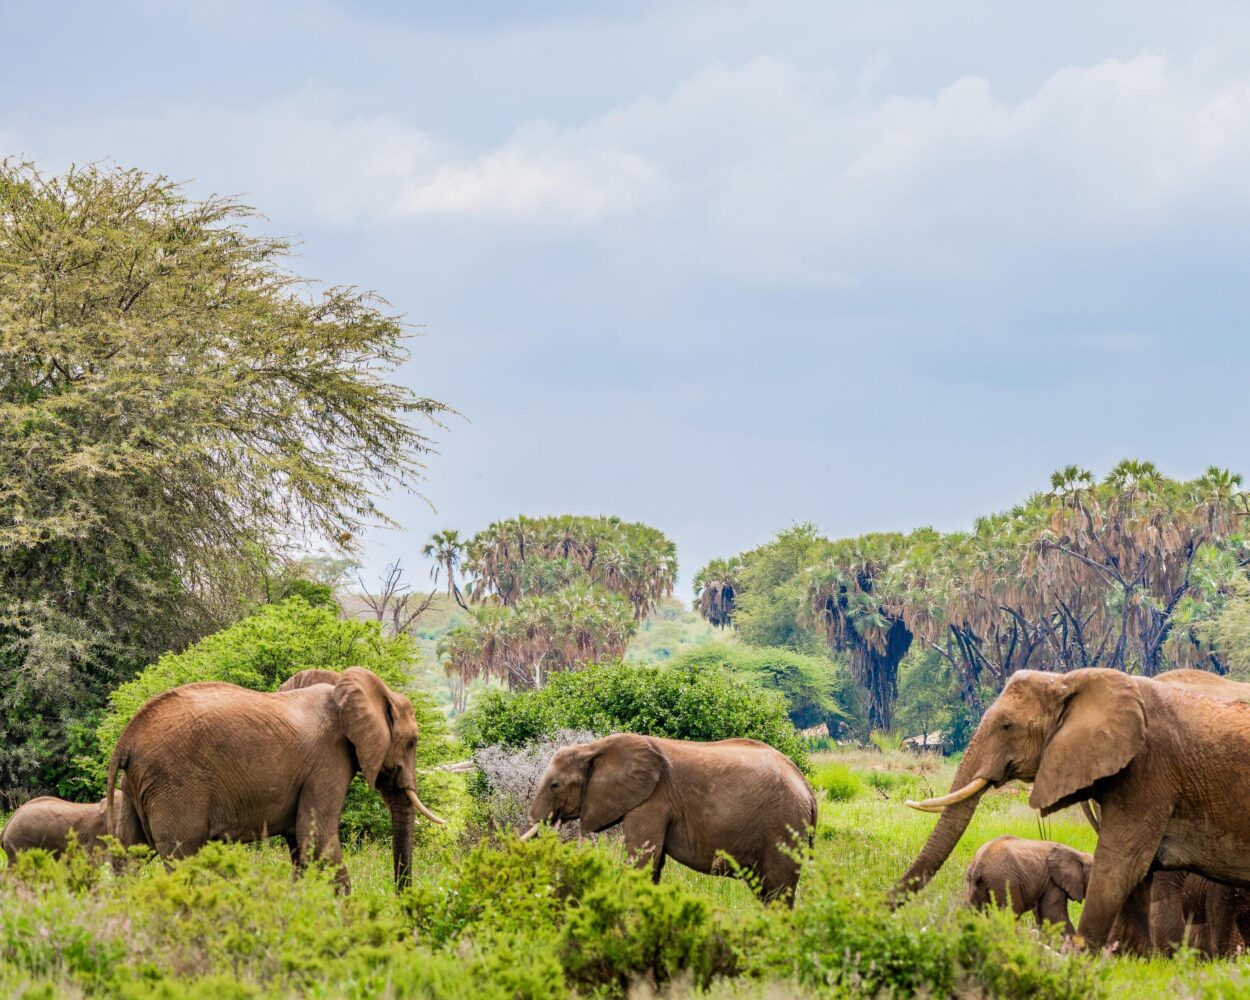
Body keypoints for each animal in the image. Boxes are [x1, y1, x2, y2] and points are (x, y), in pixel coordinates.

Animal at [106, 665, 445, 890]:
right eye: (412, 742)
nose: (401, 902)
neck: (343, 686)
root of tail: (126, 738)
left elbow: (300, 845)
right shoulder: (328, 760)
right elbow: (318, 840)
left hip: (137, 786)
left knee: (130, 855)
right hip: (174, 783)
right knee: (182, 858)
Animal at [515, 730, 815, 900]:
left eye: (555, 785)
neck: (593, 747)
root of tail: (808, 789)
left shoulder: (652, 801)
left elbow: (641, 860)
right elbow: (653, 865)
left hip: (782, 827)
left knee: (777, 890)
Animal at [960, 830, 1090, 935]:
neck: (1079, 854)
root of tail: (979, 863)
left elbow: (1042, 916)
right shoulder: (1053, 882)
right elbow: (1053, 914)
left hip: (971, 881)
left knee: (970, 912)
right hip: (1005, 881)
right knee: (1009, 915)